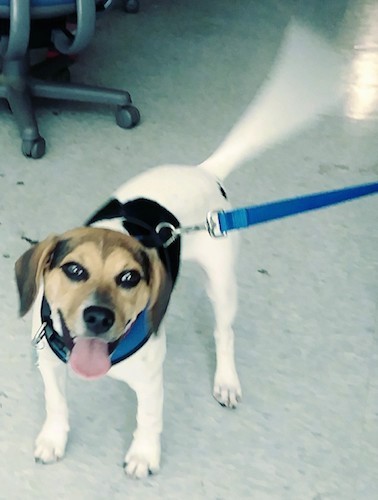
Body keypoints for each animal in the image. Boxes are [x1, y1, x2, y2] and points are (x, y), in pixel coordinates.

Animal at [14, 158, 242, 478]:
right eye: (74, 270)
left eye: (129, 277)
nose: (99, 317)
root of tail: (204, 171)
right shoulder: (49, 364)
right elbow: (56, 403)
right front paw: (53, 439)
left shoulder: (149, 381)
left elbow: (148, 418)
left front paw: (144, 455)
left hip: (221, 284)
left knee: (224, 333)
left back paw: (226, 382)